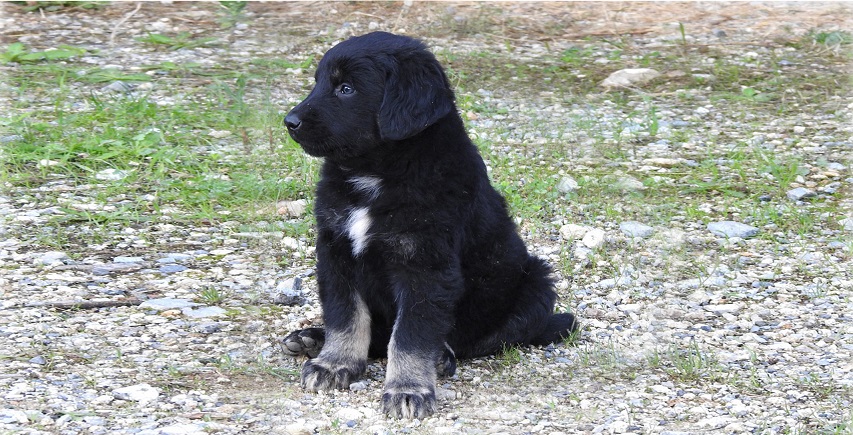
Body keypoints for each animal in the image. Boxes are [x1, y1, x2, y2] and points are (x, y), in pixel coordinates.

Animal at [282, 32, 576, 420]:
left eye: (346, 88)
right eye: (317, 83)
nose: (289, 121)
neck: (377, 174)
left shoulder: (425, 266)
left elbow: (411, 334)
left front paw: (407, 389)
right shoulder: (337, 250)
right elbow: (345, 315)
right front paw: (335, 363)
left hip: (536, 284)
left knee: (468, 340)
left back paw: (441, 358)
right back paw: (311, 337)